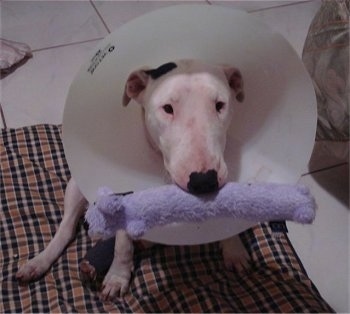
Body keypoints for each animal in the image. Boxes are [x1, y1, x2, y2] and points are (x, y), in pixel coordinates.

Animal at [16, 59, 249, 302]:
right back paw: (39, 262)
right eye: (167, 108)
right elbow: (122, 245)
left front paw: (234, 250)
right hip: (75, 186)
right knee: (67, 229)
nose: (204, 181)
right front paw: (118, 277)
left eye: (220, 105)